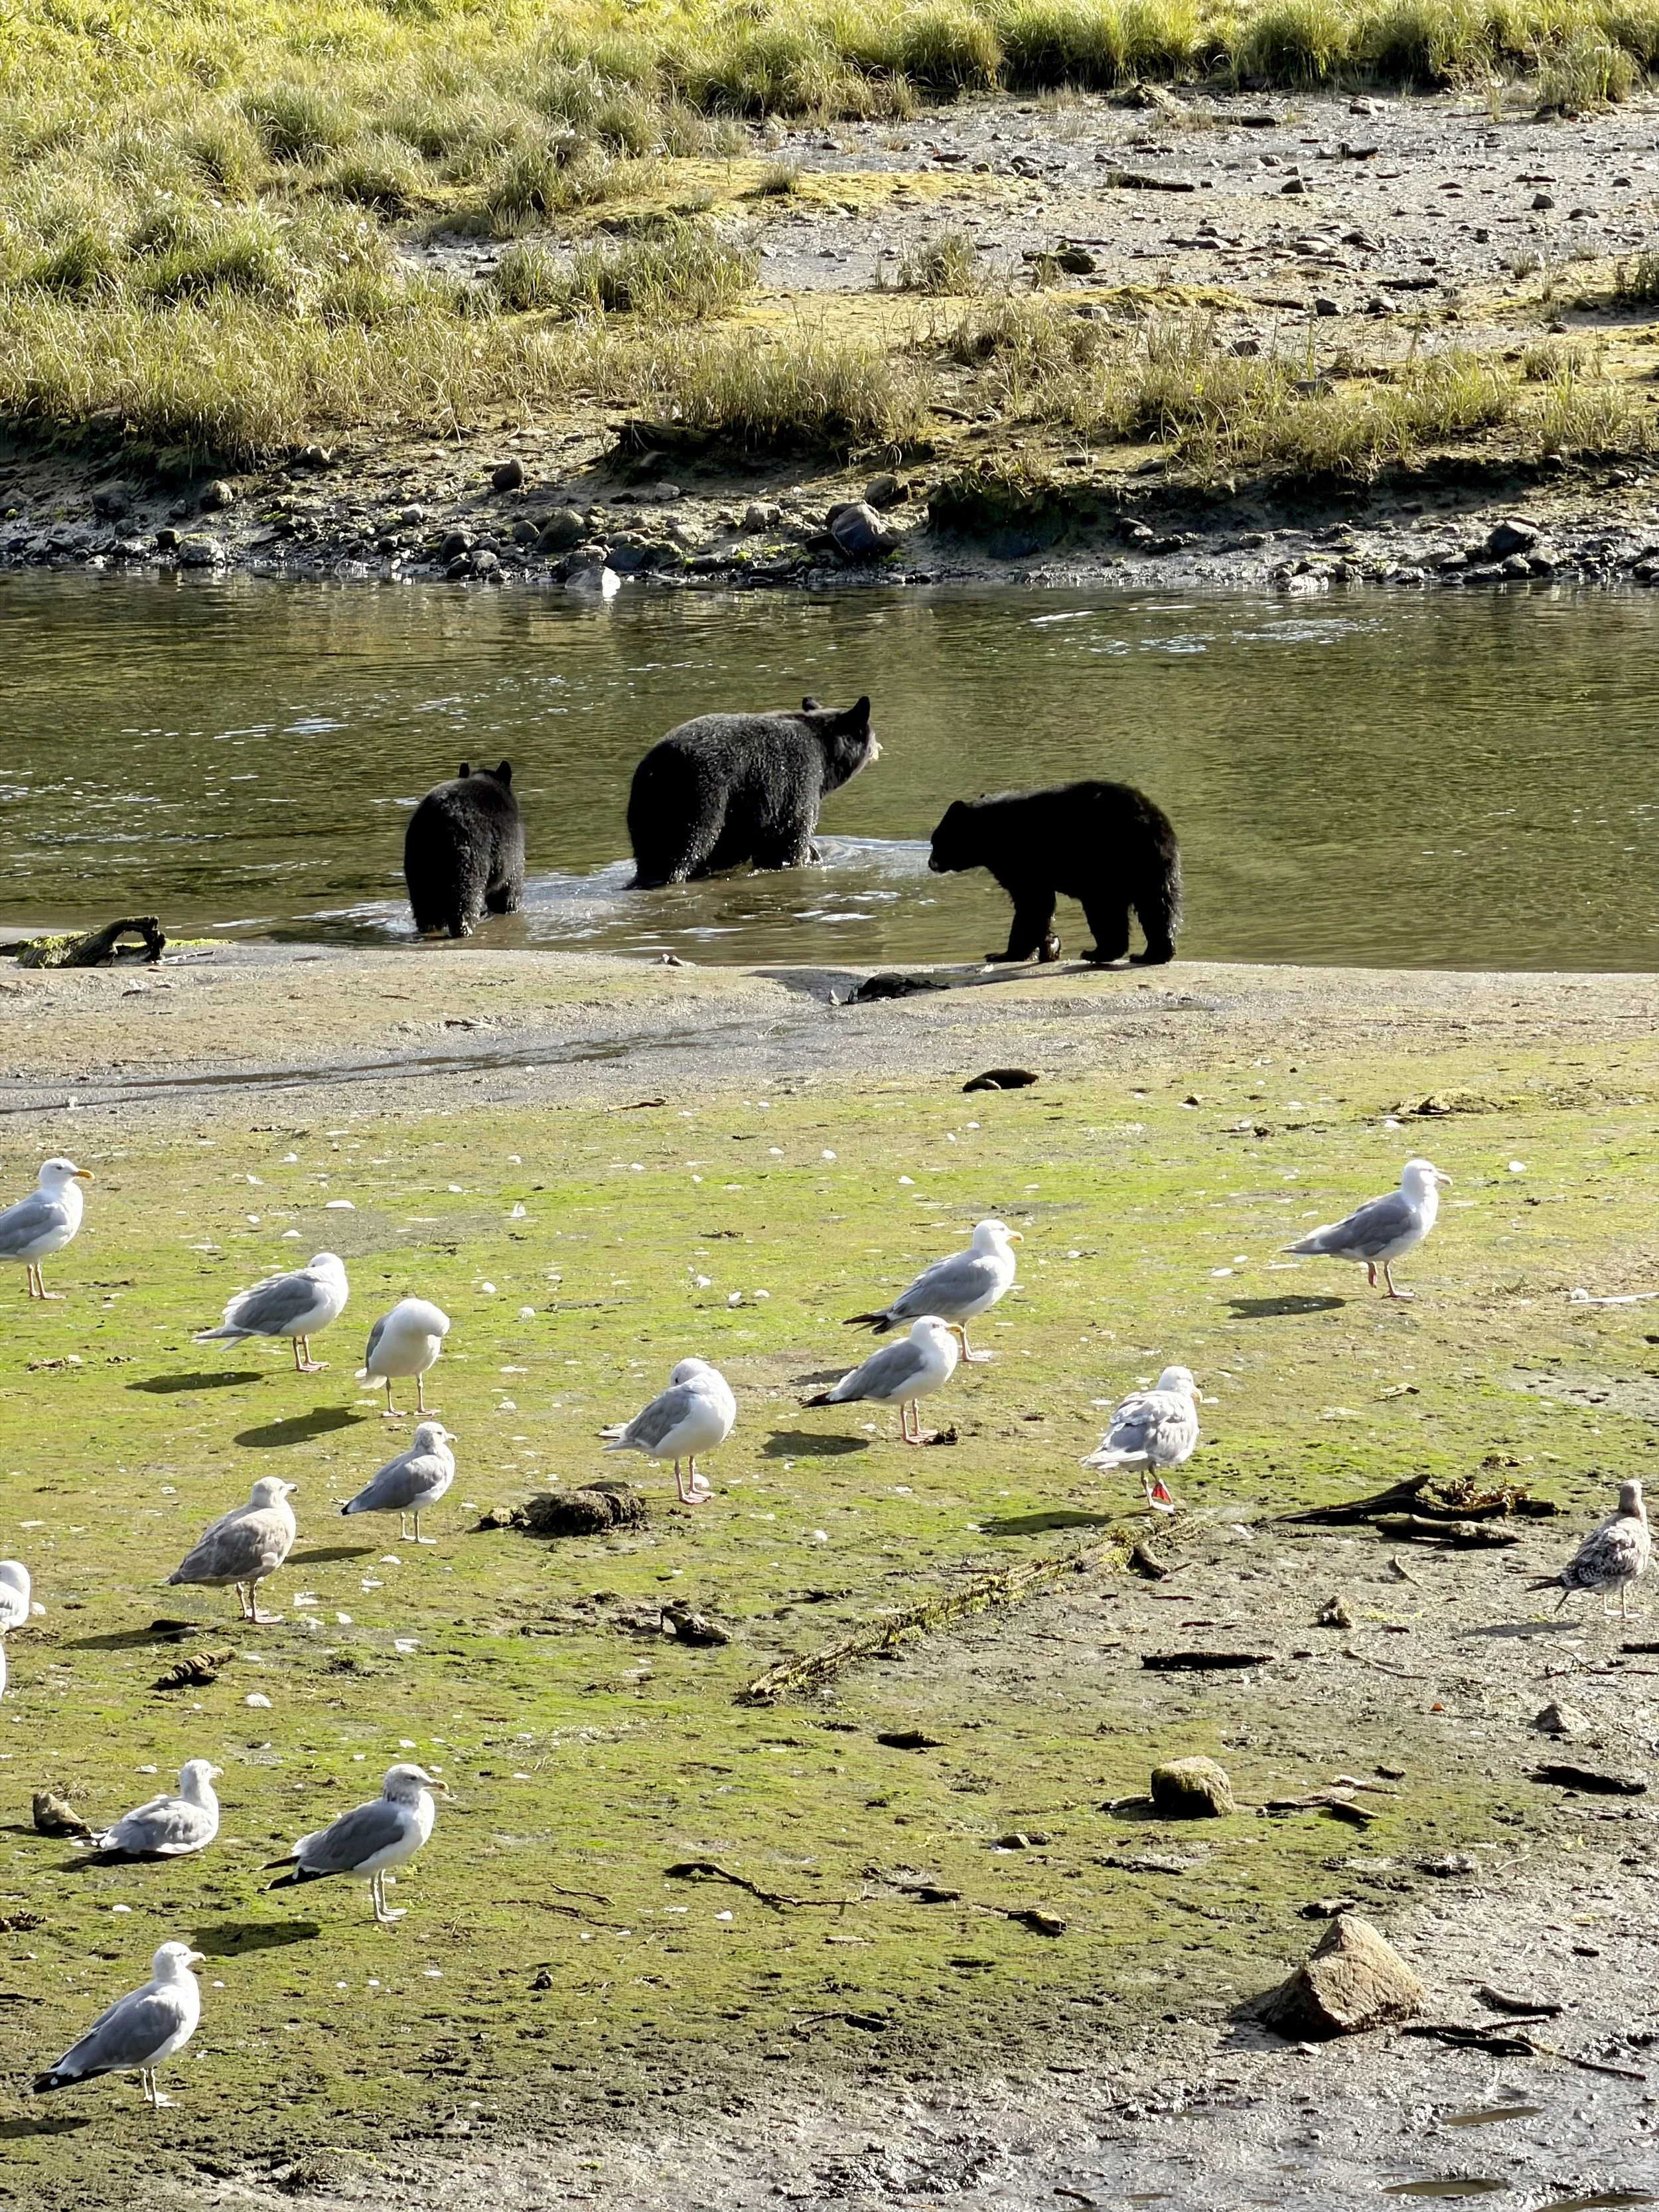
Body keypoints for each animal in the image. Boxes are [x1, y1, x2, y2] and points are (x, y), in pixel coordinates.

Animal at [403, 761, 526, 939]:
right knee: (464, 900)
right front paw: (509, 908)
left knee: (424, 904)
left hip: (417, 859)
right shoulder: (512, 853)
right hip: (468, 857)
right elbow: (509, 889)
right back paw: (464, 929)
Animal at [627, 696, 880, 890]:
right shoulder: (798, 779)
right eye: (873, 735)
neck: (825, 753)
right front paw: (805, 856)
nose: (879, 747)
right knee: (686, 848)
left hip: (648, 811)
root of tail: (656, 769)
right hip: (699, 802)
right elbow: (792, 834)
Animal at [928, 781, 1181, 967]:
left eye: (936, 840)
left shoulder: (1020, 858)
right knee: (1158, 907)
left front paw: (1006, 954)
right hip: (1153, 869)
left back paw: (1098, 953)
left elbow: (1032, 903)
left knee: (1106, 910)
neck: (990, 832)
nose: (931, 863)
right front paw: (1049, 944)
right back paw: (1152, 955)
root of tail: (1151, 820)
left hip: (1104, 864)